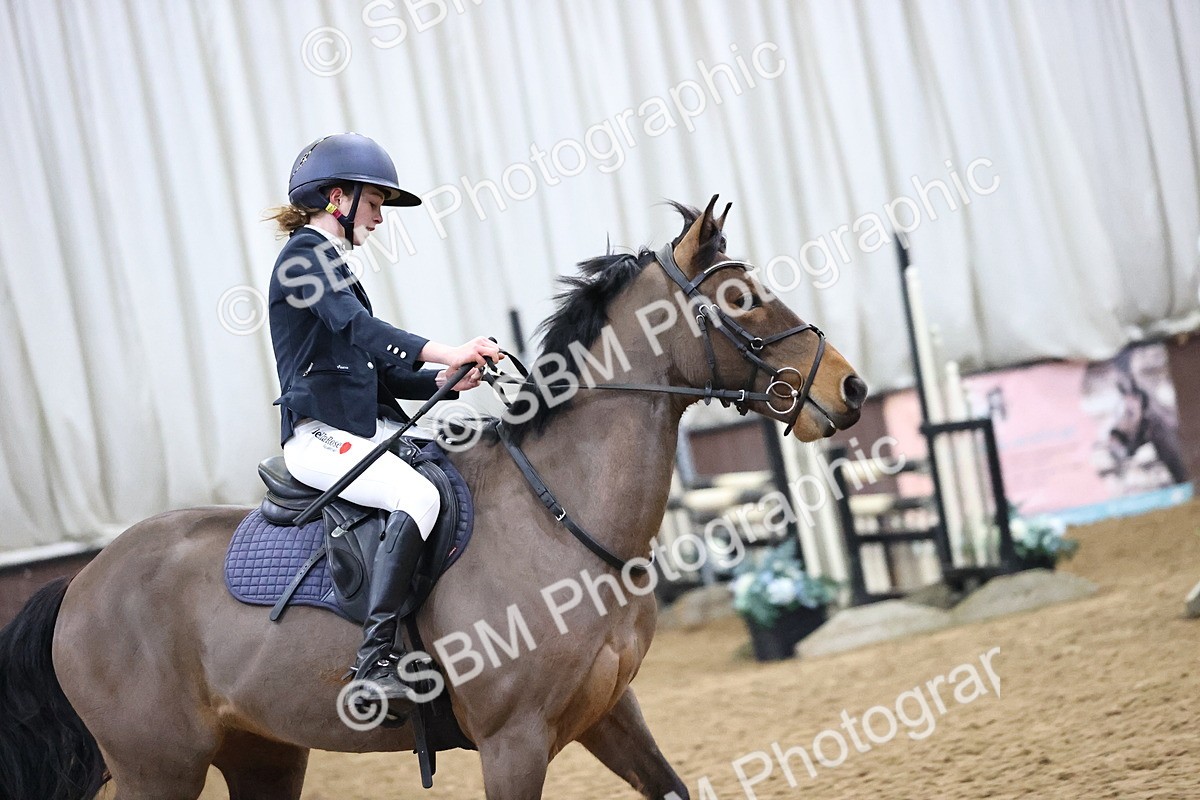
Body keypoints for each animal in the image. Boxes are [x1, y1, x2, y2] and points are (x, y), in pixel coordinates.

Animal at [0, 196, 866, 800]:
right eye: (742, 298)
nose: (849, 389)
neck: (562, 518)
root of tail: (78, 584)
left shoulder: (608, 714)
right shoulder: (514, 741)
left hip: (261, 752)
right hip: (160, 766)